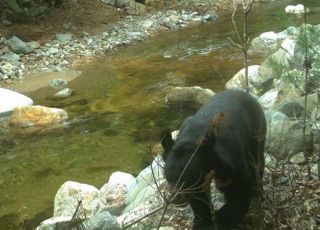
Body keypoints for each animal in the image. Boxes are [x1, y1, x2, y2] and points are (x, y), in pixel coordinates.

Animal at [161, 89, 266, 228]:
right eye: (168, 177)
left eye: (187, 178)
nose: (175, 199)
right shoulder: (199, 183)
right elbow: (199, 201)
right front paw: (202, 223)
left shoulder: (230, 156)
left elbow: (241, 185)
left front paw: (223, 218)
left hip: (257, 132)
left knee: (257, 161)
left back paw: (257, 191)